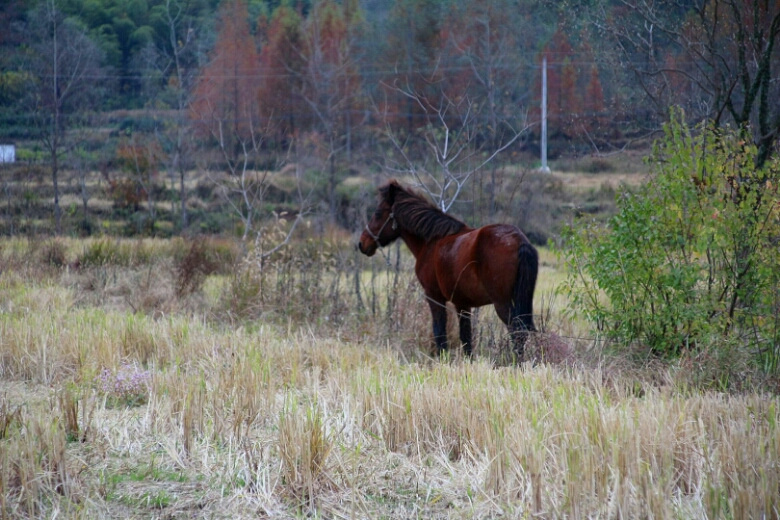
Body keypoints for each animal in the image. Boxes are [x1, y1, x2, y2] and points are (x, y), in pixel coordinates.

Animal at [358, 181, 536, 360]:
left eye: (378, 213)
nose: (362, 244)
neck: (431, 241)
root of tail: (519, 240)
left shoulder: (434, 296)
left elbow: (440, 332)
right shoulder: (463, 303)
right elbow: (466, 337)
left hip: (502, 303)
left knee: (517, 332)